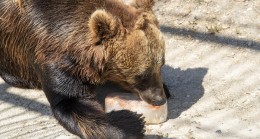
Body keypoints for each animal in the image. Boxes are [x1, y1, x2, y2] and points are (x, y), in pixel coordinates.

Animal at [0, 0, 170, 138]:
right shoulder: (56, 61)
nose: (159, 99)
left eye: (161, 64)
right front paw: (131, 122)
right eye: (141, 75)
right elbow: (70, 100)